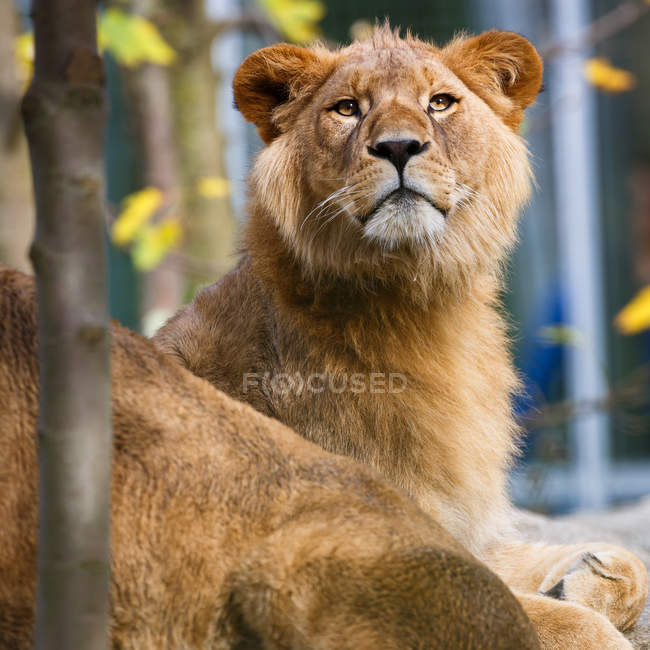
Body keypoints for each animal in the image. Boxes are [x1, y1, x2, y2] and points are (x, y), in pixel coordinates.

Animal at [153, 24, 648, 644]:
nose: (397, 148)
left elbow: (630, 565)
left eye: (440, 102)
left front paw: (584, 577)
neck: (422, 306)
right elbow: (559, 623)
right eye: (347, 108)